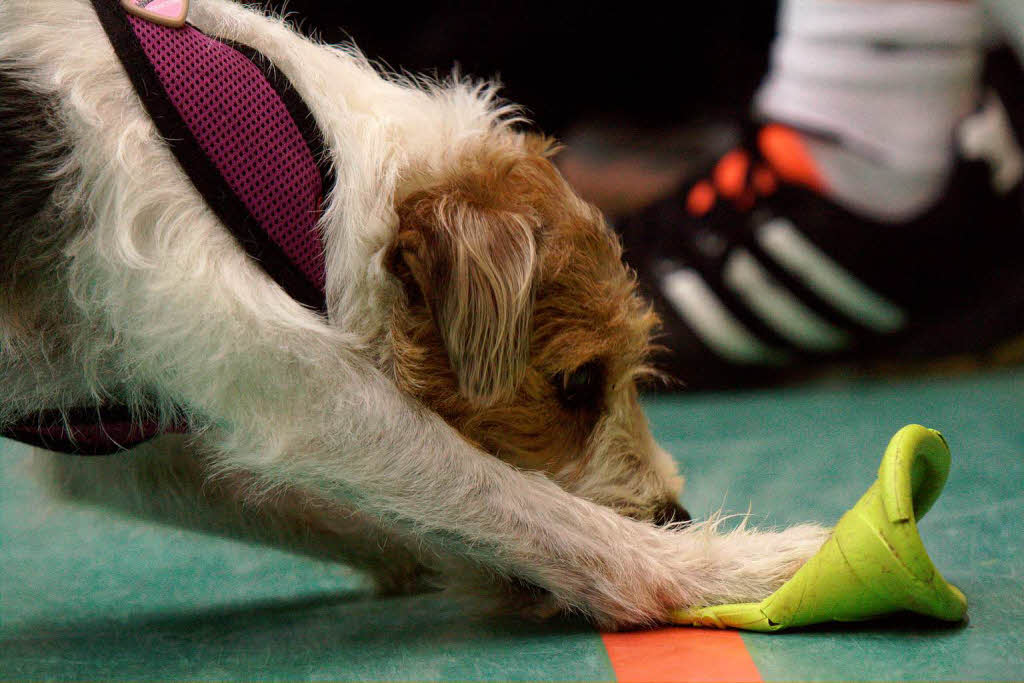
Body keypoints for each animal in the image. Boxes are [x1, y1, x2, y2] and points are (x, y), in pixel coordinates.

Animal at [0, 0, 823, 630]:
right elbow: (522, 503)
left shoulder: (125, 436)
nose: (672, 513)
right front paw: (725, 566)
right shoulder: (298, 385)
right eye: (578, 383)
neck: (307, 173)